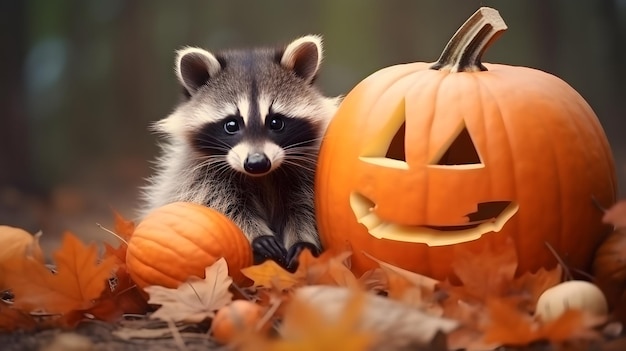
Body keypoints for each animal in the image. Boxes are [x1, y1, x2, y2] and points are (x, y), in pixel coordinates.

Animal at [139, 35, 338, 270]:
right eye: (231, 125)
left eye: (276, 122)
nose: (257, 163)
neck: (262, 177)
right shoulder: (197, 173)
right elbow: (218, 203)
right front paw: (256, 235)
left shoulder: (306, 168)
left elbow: (304, 206)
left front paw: (303, 241)